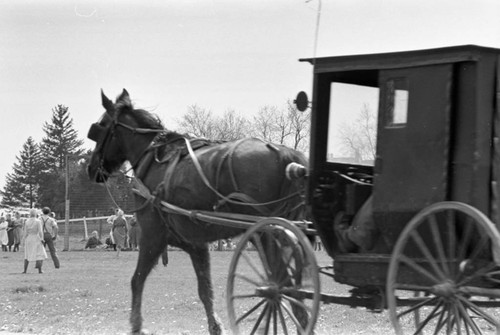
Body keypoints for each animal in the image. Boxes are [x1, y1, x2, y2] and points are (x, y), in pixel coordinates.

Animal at [86, 90, 308, 335]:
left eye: (101, 126)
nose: (91, 167)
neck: (153, 159)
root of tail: (285, 154)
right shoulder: (196, 244)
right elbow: (205, 289)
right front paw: (215, 326)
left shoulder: (152, 236)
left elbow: (137, 280)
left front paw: (136, 325)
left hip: (266, 233)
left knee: (285, 287)